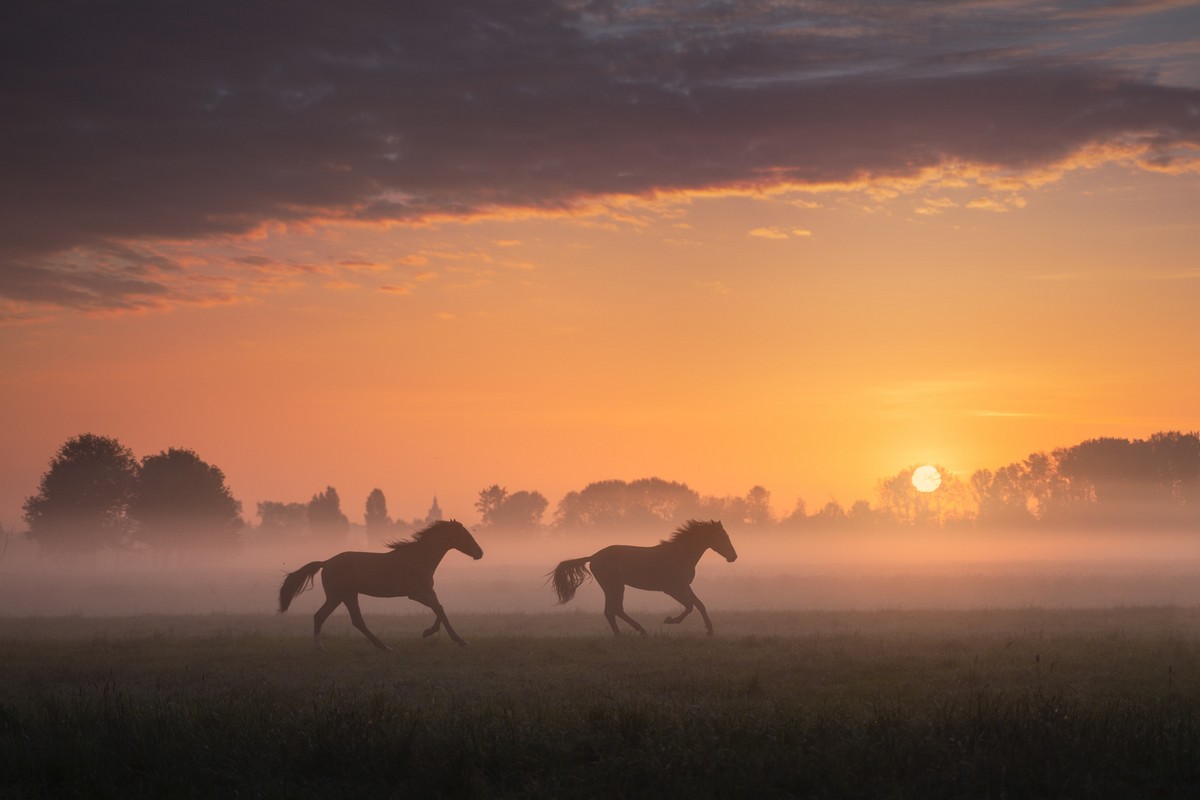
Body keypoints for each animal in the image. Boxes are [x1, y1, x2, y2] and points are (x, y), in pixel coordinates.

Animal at [277, 520, 482, 652]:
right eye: (465, 535)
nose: (480, 553)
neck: (420, 558)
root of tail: (326, 562)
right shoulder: (415, 593)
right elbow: (438, 608)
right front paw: (458, 640)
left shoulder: (428, 590)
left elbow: (440, 609)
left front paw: (431, 632)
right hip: (343, 595)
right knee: (343, 619)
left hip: (341, 596)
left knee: (330, 617)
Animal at [549, 520, 734, 638]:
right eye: (723, 536)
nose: (734, 556)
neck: (679, 555)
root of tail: (593, 557)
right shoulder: (672, 589)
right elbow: (689, 606)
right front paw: (669, 620)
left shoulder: (684, 586)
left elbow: (699, 604)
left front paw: (710, 631)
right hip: (615, 586)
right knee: (615, 609)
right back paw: (639, 631)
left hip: (612, 587)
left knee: (611, 611)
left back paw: (622, 634)